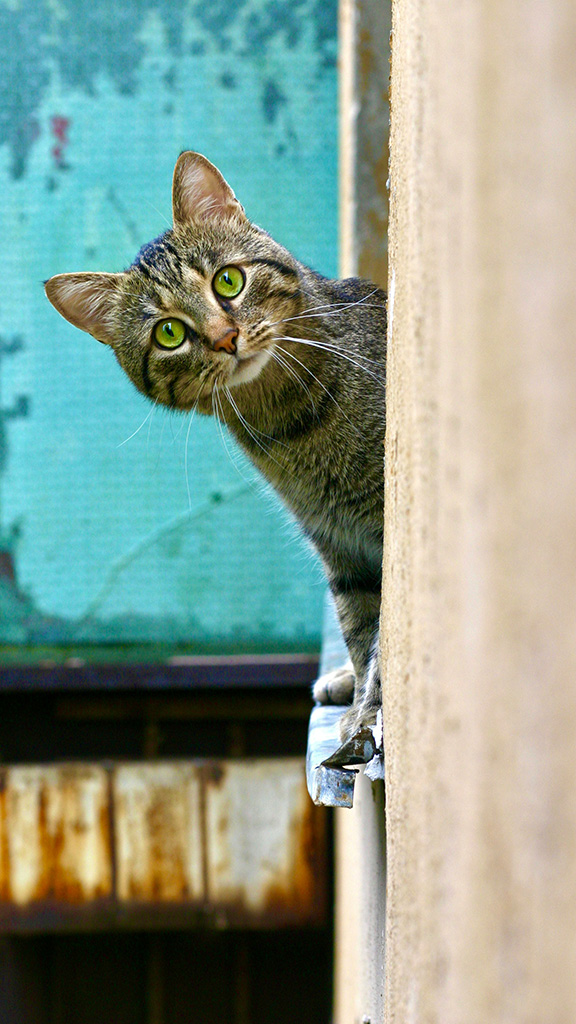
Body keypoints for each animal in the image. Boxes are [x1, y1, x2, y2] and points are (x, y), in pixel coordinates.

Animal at [45, 149, 385, 737]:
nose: (226, 339)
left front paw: (367, 717)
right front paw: (362, 711)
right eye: (169, 333)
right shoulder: (340, 546)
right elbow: (363, 632)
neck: (289, 423)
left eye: (228, 282)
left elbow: (384, 643)